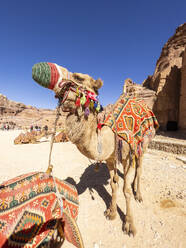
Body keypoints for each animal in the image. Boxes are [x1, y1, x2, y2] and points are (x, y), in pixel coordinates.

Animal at [32, 62, 158, 236]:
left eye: (78, 77)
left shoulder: (126, 155)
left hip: (143, 144)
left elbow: (125, 190)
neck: (109, 135)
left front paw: (129, 225)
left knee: (139, 168)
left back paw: (138, 194)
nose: (39, 69)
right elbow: (114, 184)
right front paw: (111, 212)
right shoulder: (110, 158)